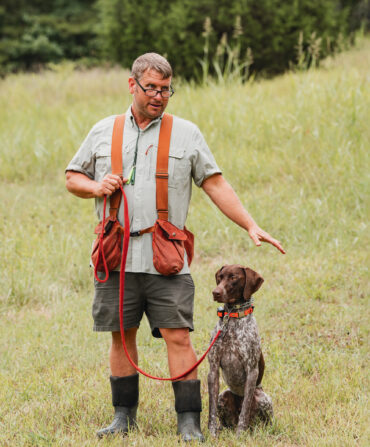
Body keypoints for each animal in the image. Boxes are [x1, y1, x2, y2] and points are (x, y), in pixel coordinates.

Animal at [207, 266, 274, 438]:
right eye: (220, 277)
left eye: (233, 277)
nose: (215, 292)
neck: (232, 319)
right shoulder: (213, 369)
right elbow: (211, 409)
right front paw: (212, 433)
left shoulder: (251, 371)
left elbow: (245, 408)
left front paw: (240, 435)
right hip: (223, 396)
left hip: (263, 398)